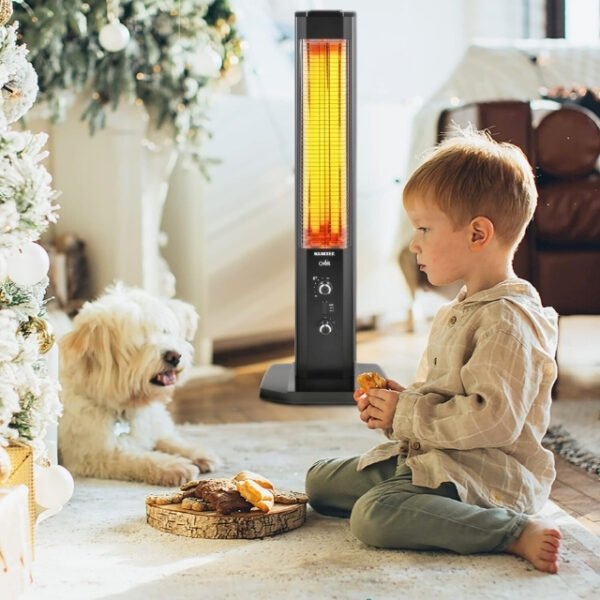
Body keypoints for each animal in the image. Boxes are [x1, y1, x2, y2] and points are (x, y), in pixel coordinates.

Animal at [57, 284, 217, 486]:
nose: (174, 356)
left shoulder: (154, 427)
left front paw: (196, 452)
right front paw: (175, 466)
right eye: (140, 342)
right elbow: (140, 458)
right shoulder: (93, 456)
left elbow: (168, 439)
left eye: (165, 331)